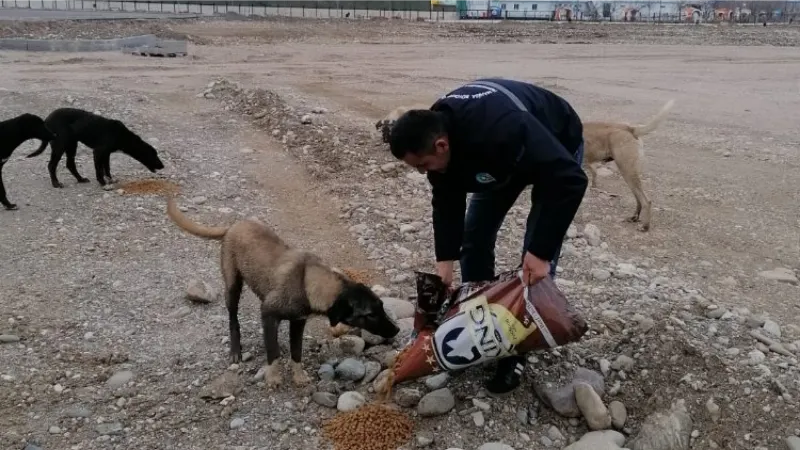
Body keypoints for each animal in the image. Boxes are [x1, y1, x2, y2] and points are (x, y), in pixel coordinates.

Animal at [27, 107, 165, 188]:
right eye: (154, 155)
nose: (163, 166)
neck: (121, 135)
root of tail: (46, 120)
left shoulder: (106, 153)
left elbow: (107, 168)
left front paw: (110, 179)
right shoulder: (98, 152)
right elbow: (99, 169)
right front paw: (102, 182)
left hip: (72, 144)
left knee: (70, 164)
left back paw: (80, 179)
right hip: (60, 145)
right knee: (51, 165)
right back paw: (56, 183)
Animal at [580, 99, 676, 232]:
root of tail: (630, 128)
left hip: (627, 171)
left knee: (646, 201)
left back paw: (645, 226)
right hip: (629, 174)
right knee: (638, 199)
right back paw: (634, 217)